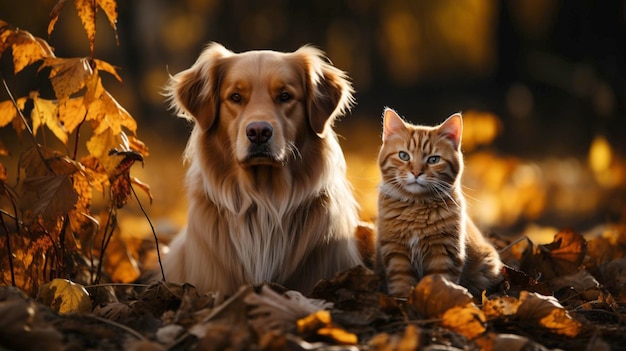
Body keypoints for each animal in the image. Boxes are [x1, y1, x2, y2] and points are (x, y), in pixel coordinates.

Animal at [376, 108, 502, 298]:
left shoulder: (444, 252)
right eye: (403, 156)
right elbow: (401, 282)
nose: (416, 172)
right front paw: (402, 301)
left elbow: (440, 282)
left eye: (433, 160)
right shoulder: (396, 253)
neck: (416, 207)